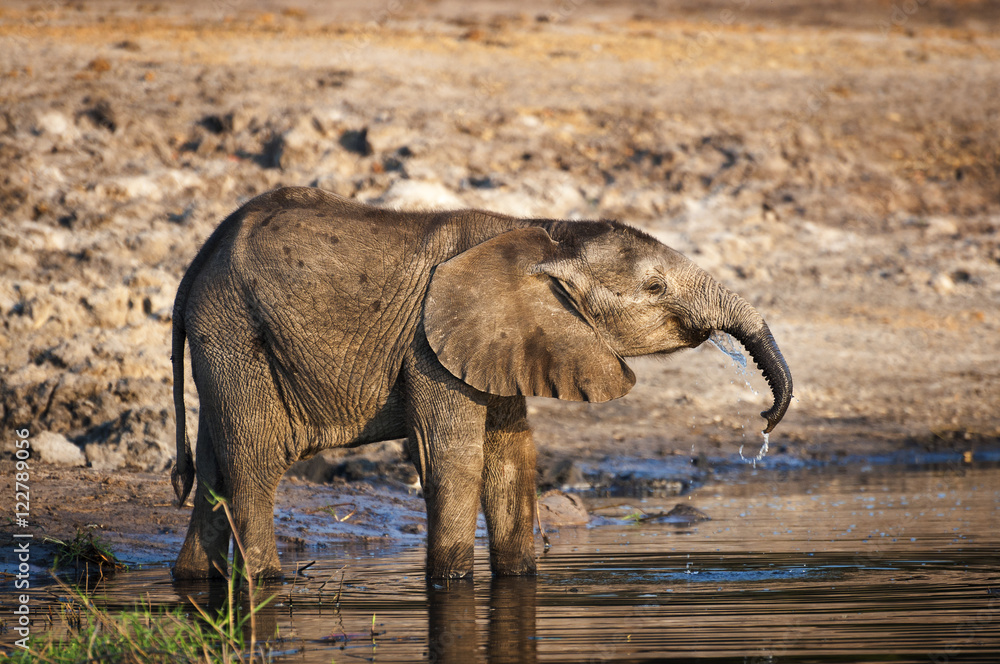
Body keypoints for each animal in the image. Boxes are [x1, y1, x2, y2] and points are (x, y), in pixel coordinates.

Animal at [170, 186, 792, 580]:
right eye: (656, 287)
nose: (767, 418)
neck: (544, 234)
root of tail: (202, 254)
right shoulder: (428, 345)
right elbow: (456, 457)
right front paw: (450, 582)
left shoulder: (504, 338)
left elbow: (512, 454)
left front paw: (519, 579)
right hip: (234, 327)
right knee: (254, 456)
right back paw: (267, 583)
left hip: (220, 333)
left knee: (215, 459)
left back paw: (193, 580)